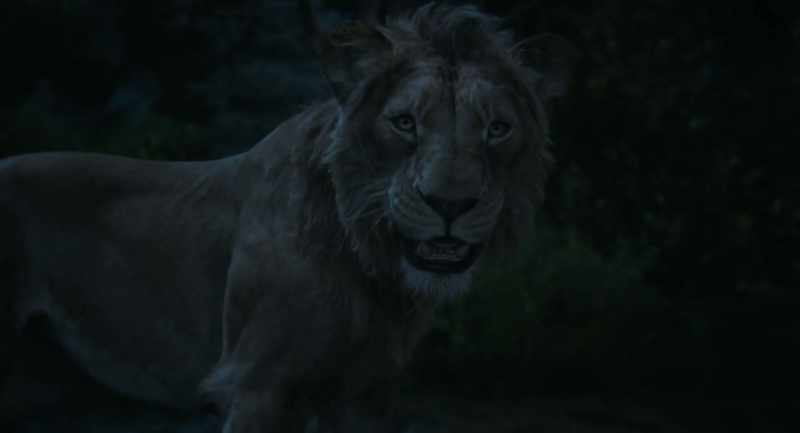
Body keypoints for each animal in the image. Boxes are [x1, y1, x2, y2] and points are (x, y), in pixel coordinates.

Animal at [0, 3, 576, 432]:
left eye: (497, 129)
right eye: (405, 123)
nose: (450, 205)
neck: (370, 269)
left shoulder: (365, 395)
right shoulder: (254, 386)